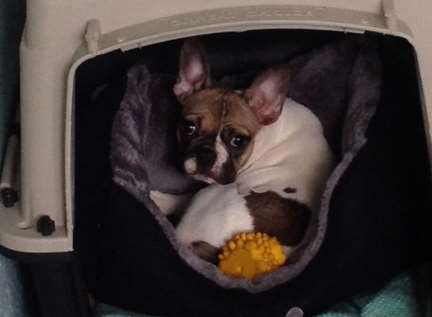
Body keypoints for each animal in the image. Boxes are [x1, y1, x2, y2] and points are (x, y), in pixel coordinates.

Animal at [153, 39, 334, 262]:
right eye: (189, 128)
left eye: (238, 141)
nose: (207, 153)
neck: (264, 135)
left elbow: (184, 197)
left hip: (211, 195)